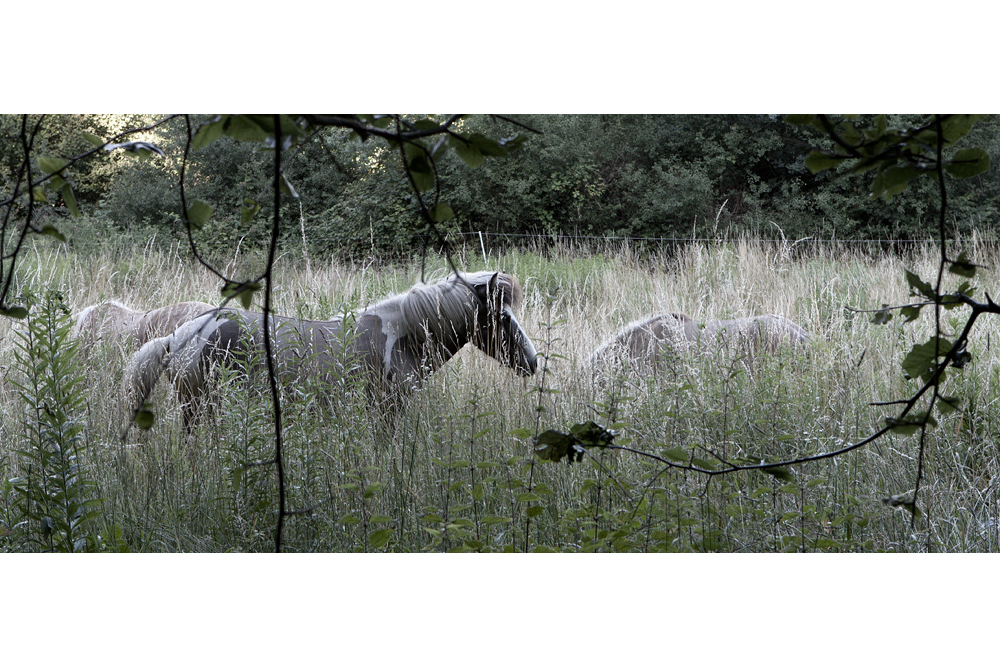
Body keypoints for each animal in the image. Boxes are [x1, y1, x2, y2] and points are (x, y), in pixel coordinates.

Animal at [125, 272, 540, 428]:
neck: (400, 335)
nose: (534, 362)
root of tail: (177, 337)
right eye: (502, 317)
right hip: (201, 406)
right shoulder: (387, 408)